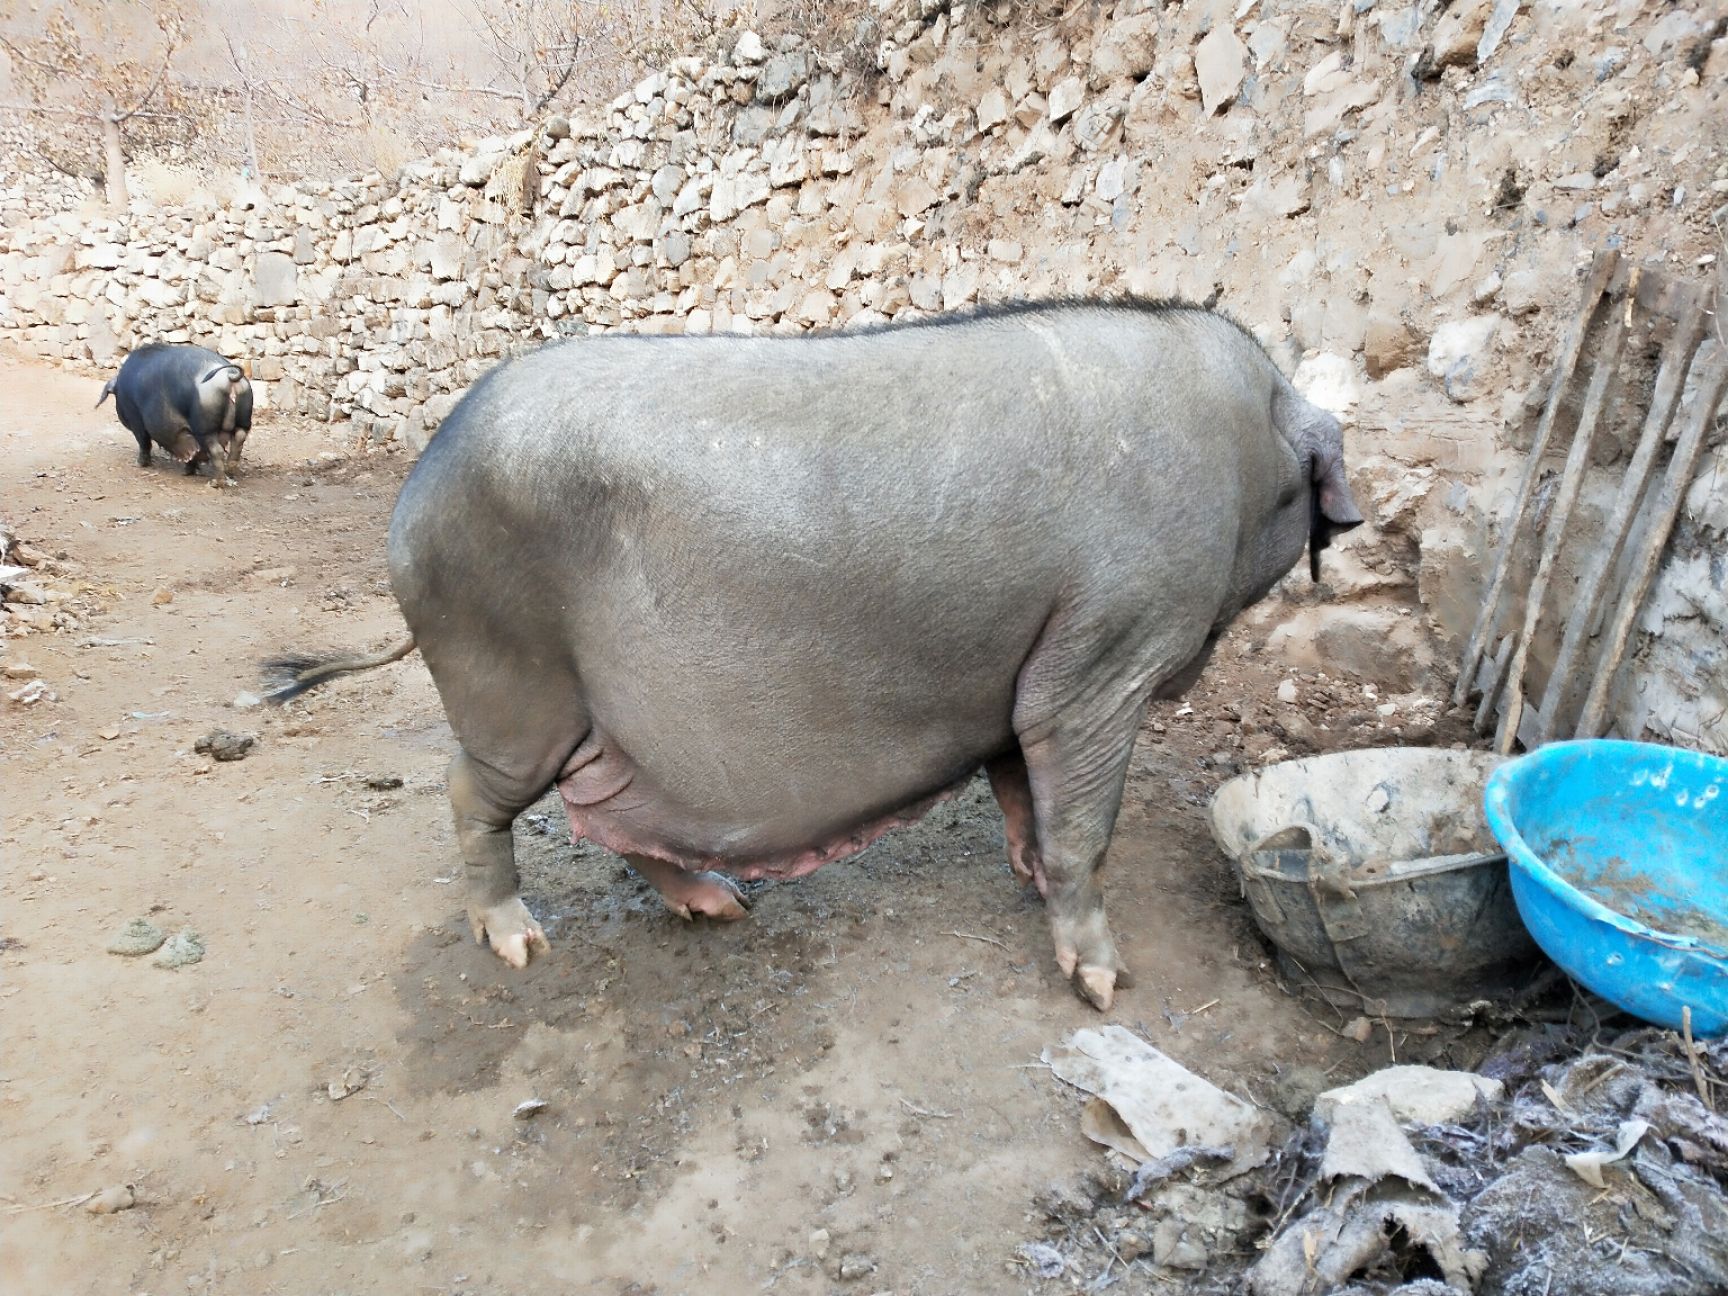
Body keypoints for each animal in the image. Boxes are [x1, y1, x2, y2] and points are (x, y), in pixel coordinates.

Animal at [98, 345, 254, 487]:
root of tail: (229, 375)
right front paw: (188, 472)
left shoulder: (136, 418)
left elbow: (144, 443)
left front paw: (138, 464)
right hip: (244, 416)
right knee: (238, 439)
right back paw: (228, 473)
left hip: (204, 427)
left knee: (217, 450)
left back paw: (214, 483)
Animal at [266, 298, 1361, 1009]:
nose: (1347, 515)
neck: (1244, 450)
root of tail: (418, 481)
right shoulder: (1106, 654)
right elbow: (1081, 821)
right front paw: (1105, 984)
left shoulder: (1030, 665)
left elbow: (1021, 782)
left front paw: (1023, 874)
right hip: (506, 682)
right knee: (467, 791)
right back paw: (521, 946)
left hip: (593, 726)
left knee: (607, 812)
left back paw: (721, 909)